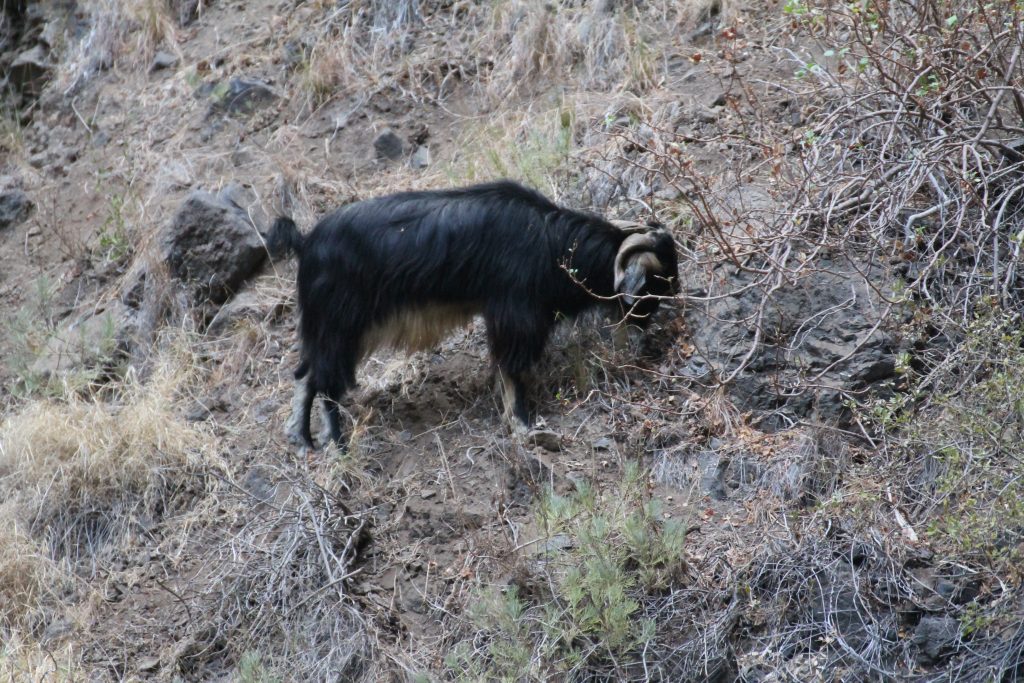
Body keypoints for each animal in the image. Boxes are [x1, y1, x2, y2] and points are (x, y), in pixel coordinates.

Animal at [266, 181, 679, 448]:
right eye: (654, 282)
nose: (647, 326)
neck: (550, 242)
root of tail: (305, 243)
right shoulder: (514, 316)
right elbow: (511, 371)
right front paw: (523, 424)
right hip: (338, 326)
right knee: (325, 381)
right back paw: (337, 443)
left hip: (330, 329)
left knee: (306, 374)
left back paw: (303, 439)